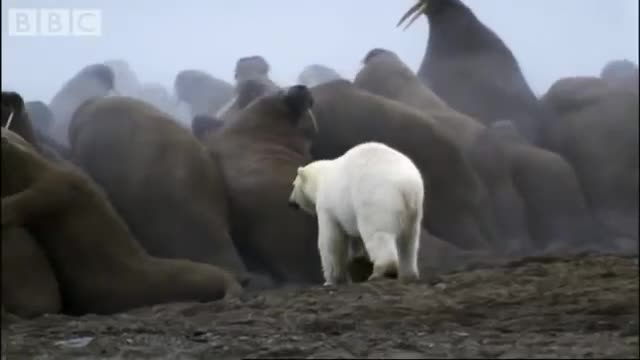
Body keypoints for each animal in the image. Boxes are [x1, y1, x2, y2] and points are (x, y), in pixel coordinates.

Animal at [288, 141, 422, 284]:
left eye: (293, 185)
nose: (290, 202)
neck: (321, 179)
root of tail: (406, 186)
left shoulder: (327, 206)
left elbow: (331, 241)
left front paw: (331, 280)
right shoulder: (348, 212)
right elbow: (355, 237)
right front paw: (358, 259)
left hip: (377, 199)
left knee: (378, 234)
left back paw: (382, 270)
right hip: (414, 208)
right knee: (409, 241)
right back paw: (409, 275)